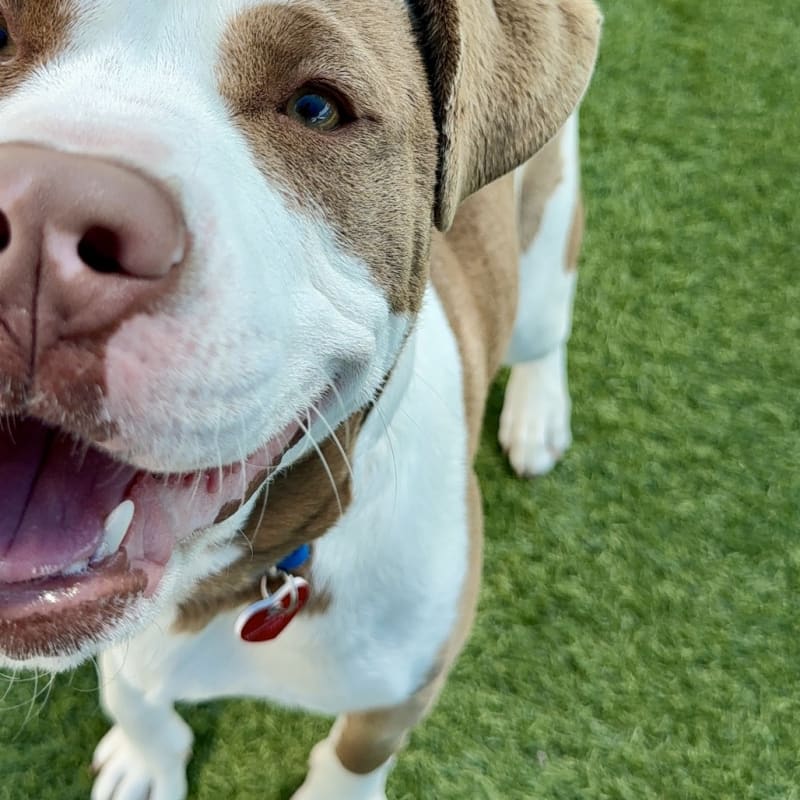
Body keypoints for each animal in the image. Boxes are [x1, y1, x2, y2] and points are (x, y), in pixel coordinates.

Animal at [0, 1, 601, 797]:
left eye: (317, 107)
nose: (38, 218)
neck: (230, 586)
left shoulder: (407, 682)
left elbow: (357, 754)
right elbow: (131, 691)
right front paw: (145, 759)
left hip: (544, 244)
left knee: (546, 326)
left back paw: (539, 415)